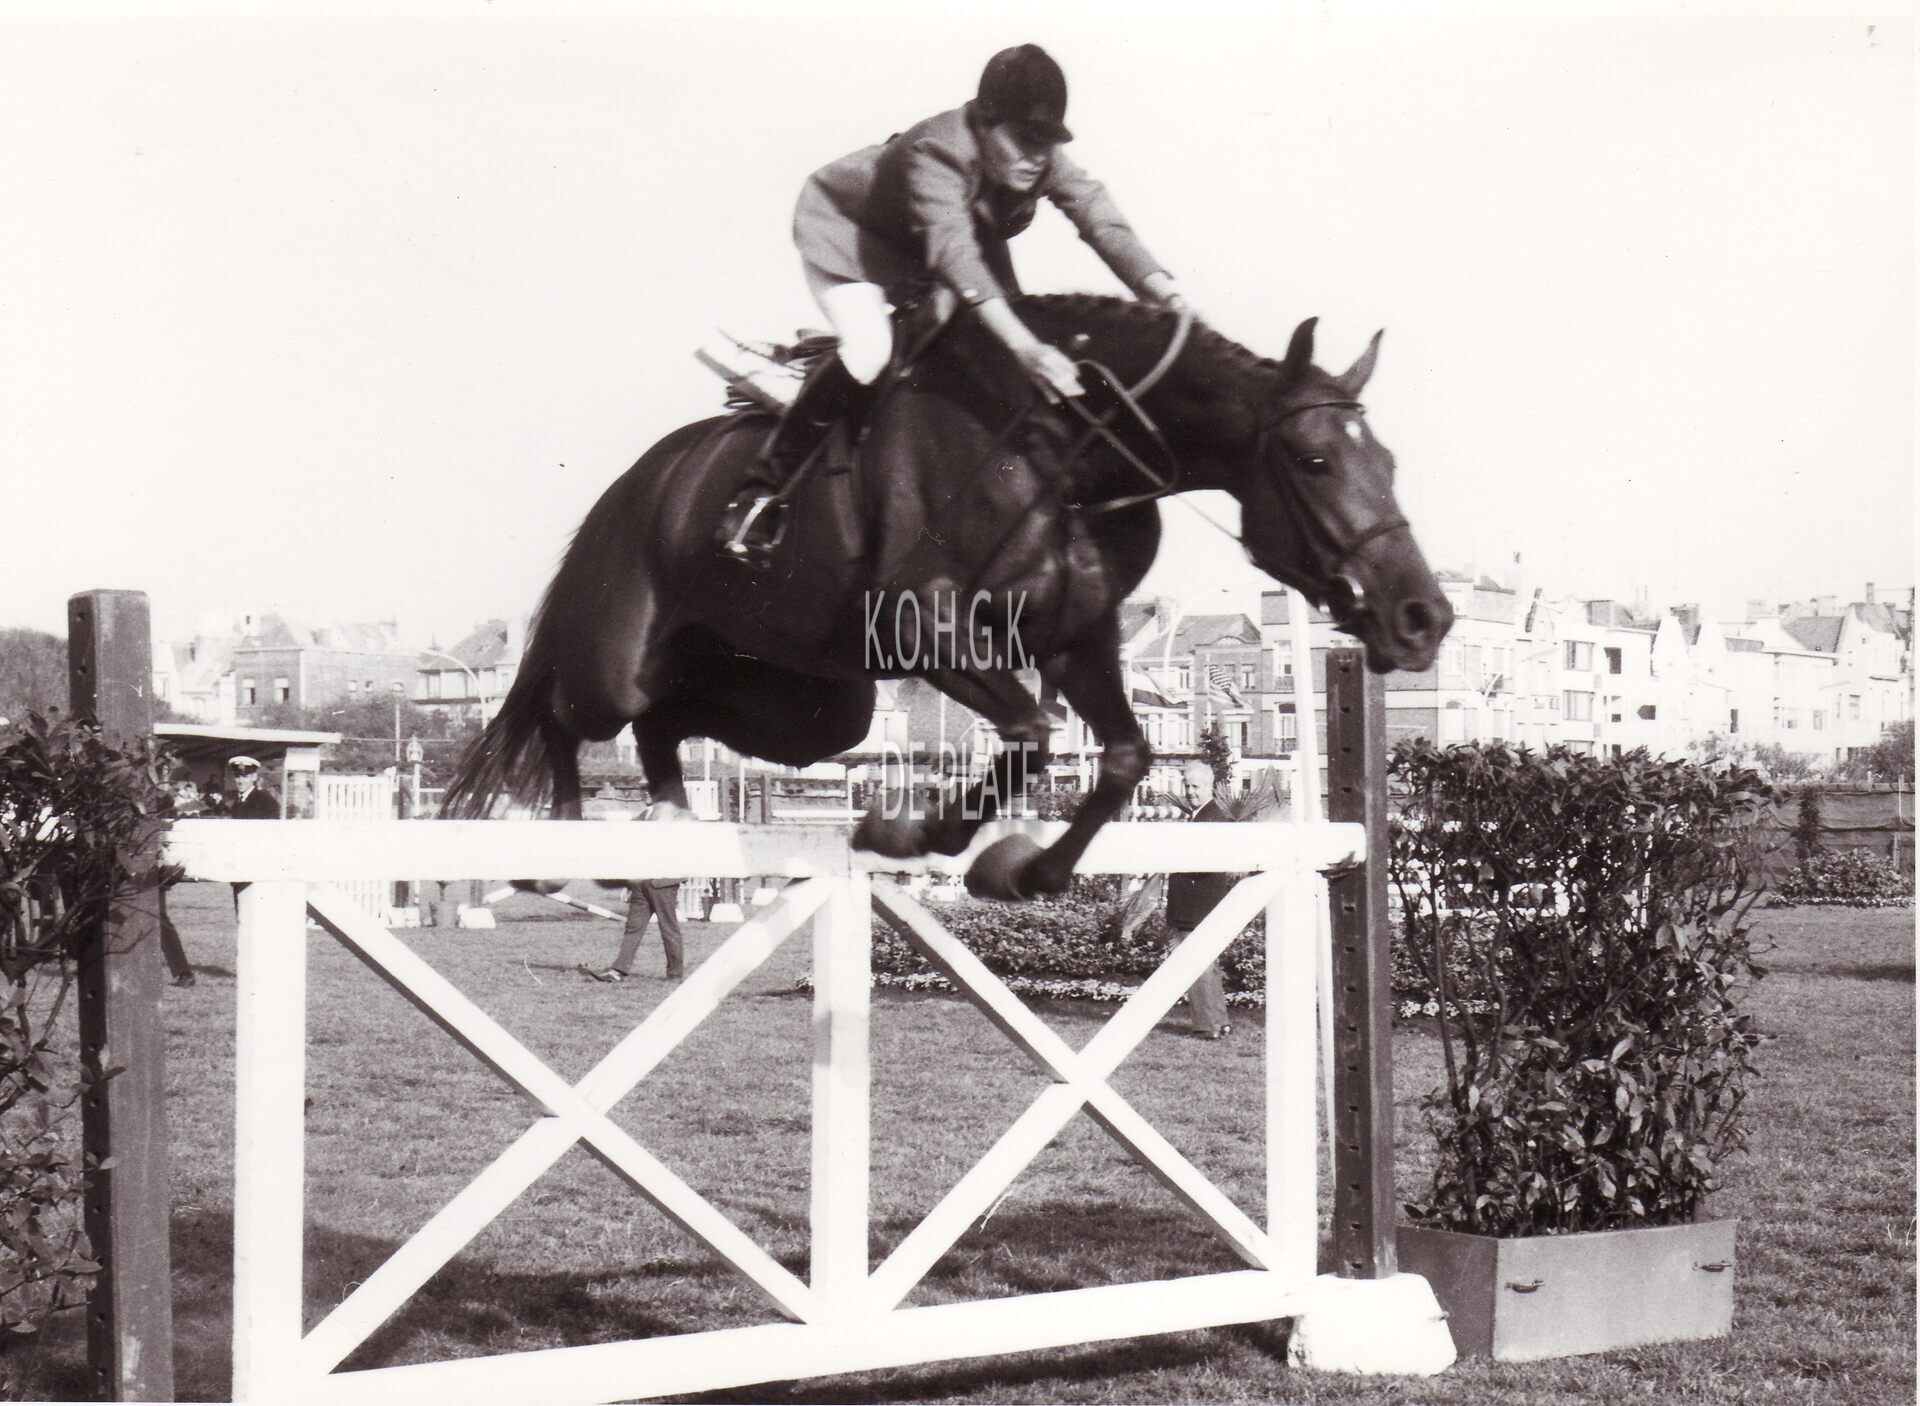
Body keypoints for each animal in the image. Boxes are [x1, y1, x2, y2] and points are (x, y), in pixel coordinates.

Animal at [441, 294, 1453, 900]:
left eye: (1390, 461)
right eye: (1315, 461)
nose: (1423, 616)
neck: (1064, 452)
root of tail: (638, 480)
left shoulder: (1074, 641)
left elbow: (1119, 757)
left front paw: (1024, 869)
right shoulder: (926, 626)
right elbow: (1036, 733)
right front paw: (920, 829)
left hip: (815, 704)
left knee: (669, 722)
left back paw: (664, 815)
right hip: (619, 656)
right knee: (565, 711)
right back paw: (561, 854)